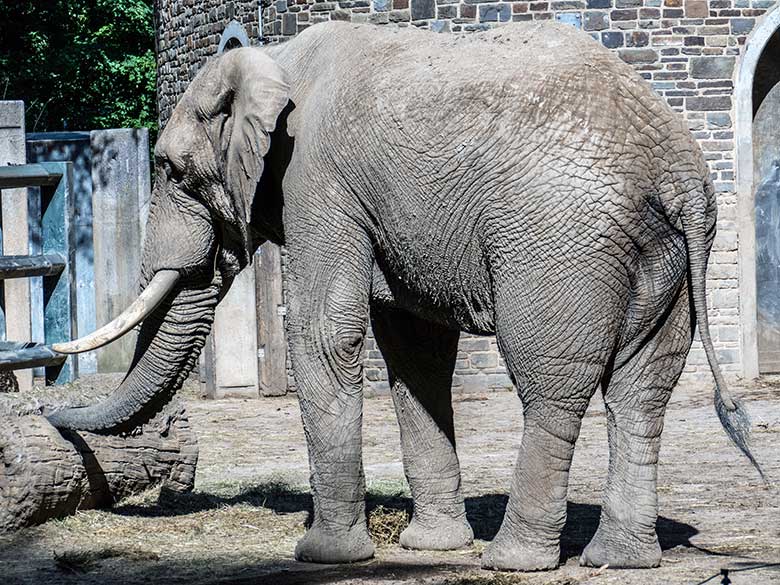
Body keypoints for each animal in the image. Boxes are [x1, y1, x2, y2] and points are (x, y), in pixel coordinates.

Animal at [45, 21, 760, 572]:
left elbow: (324, 331)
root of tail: (678, 170)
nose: (50, 415)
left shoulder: (317, 178)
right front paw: (428, 548)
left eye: (170, 169)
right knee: (643, 392)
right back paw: (619, 561)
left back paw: (514, 560)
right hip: (662, 255)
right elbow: (414, 350)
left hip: (561, 242)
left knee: (550, 382)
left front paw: (324, 556)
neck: (275, 61)